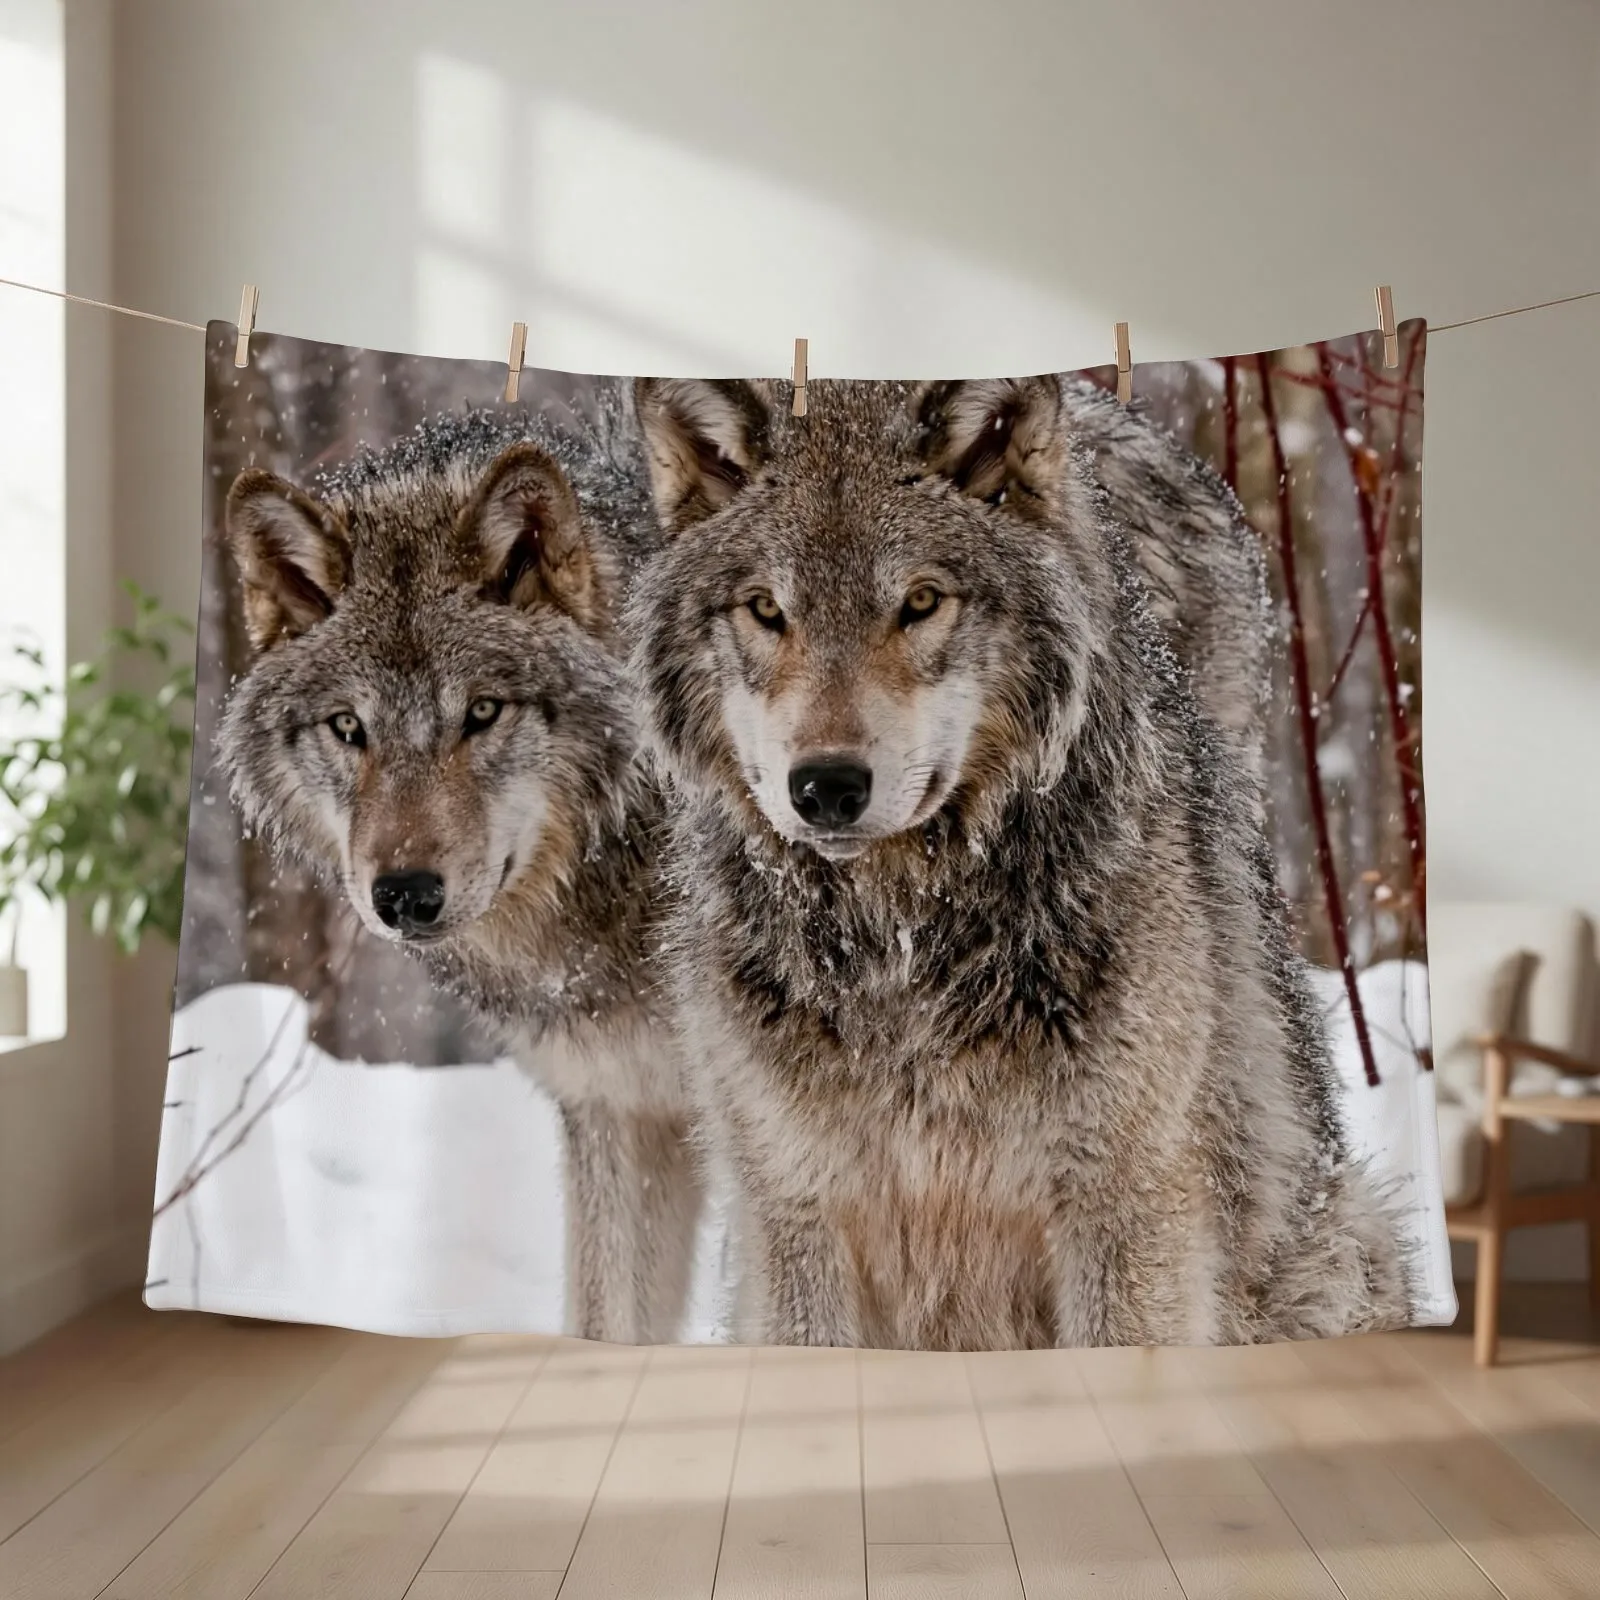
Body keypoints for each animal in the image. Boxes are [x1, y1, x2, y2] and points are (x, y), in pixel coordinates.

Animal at [628, 373, 1411, 1351]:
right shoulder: (796, 1220)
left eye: (921, 602)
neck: (901, 946)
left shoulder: (1128, 1215)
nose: (827, 786)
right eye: (768, 611)